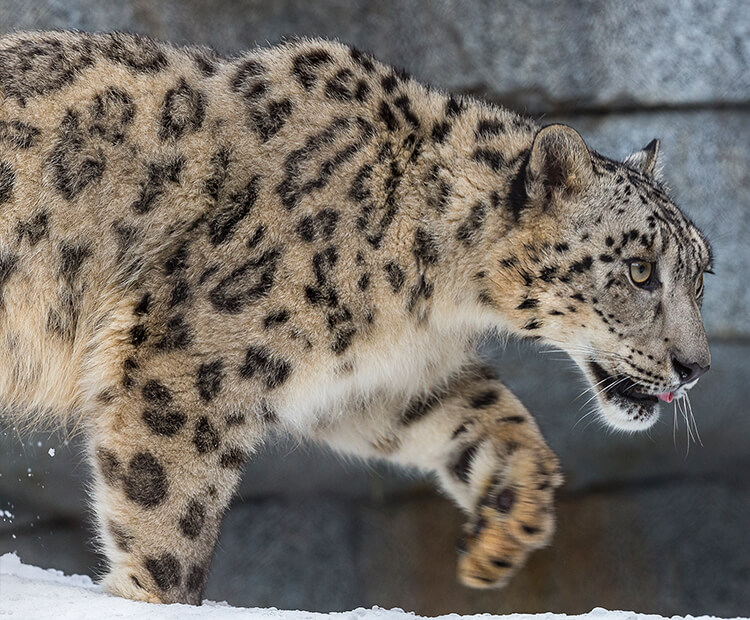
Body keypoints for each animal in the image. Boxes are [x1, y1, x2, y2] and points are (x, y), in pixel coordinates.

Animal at [0, 31, 711, 605]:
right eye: (640, 269)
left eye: (702, 272)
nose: (696, 366)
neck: (430, 294)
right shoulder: (189, 365)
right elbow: (168, 513)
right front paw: (147, 597)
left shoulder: (379, 375)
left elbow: (492, 418)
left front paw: (507, 529)